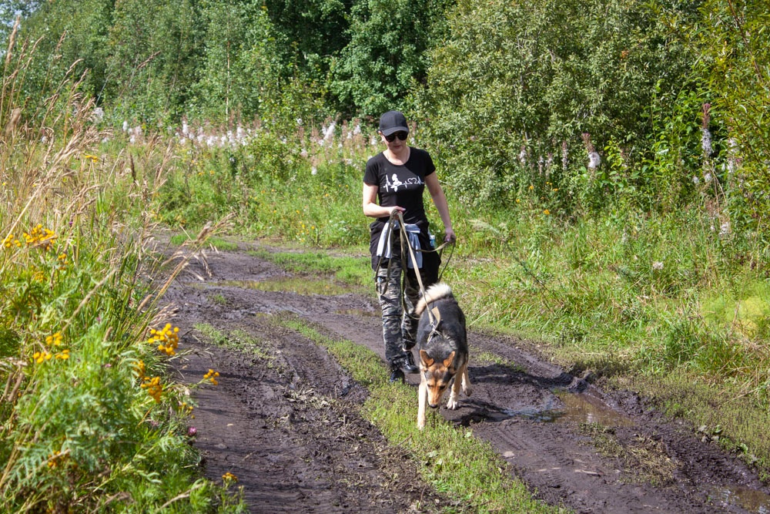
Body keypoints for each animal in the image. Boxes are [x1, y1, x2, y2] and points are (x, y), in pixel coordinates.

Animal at [414, 282, 468, 426]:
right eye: (430, 385)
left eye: (442, 387)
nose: (432, 406)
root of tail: (446, 298)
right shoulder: (424, 379)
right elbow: (421, 403)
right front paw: (421, 424)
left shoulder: (457, 365)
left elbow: (456, 385)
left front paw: (453, 401)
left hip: (465, 346)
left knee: (466, 366)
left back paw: (467, 387)